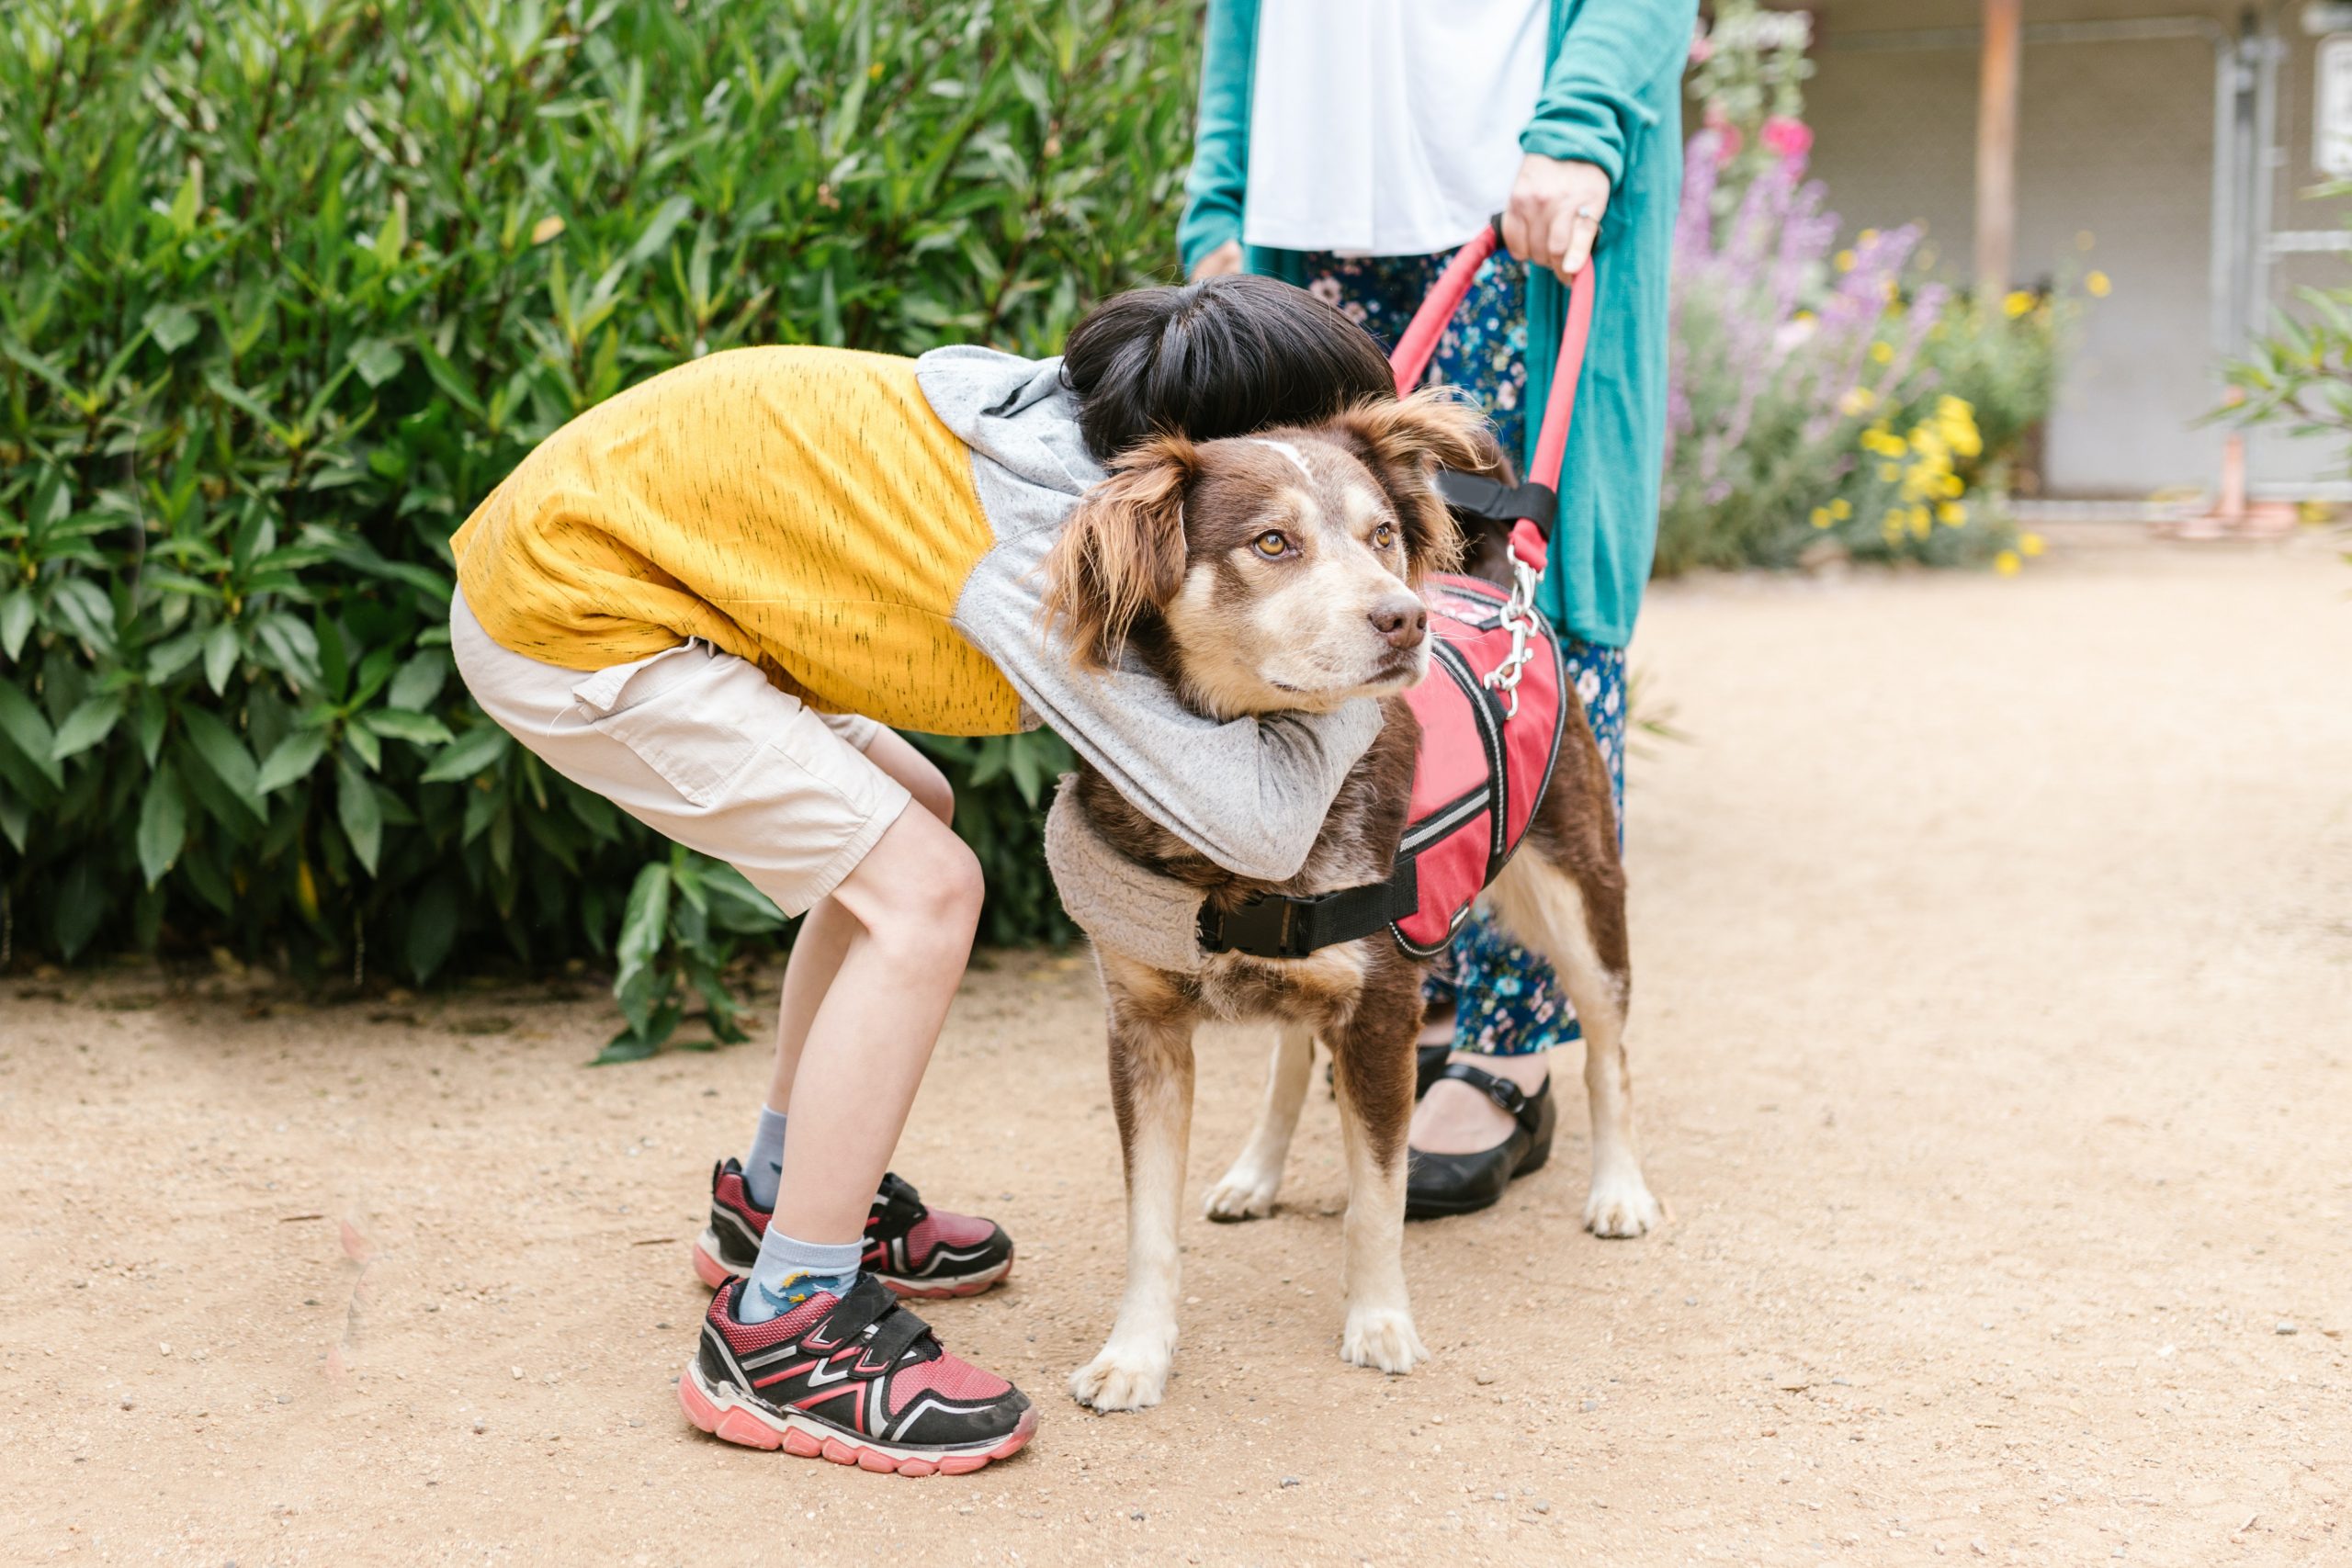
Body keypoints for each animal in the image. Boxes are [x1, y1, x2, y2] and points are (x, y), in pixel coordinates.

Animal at [1048, 385, 1674, 1419]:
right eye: (1271, 542)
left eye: (1381, 534)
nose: (1405, 619)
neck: (1252, 801)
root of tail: (1495, 594)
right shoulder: (1140, 1026)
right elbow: (1148, 1223)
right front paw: (1135, 1353)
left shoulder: (1382, 1009)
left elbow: (1378, 1197)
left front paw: (1379, 1323)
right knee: (1293, 1055)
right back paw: (1254, 1173)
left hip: (1583, 900)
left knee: (1609, 1051)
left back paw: (1620, 1188)